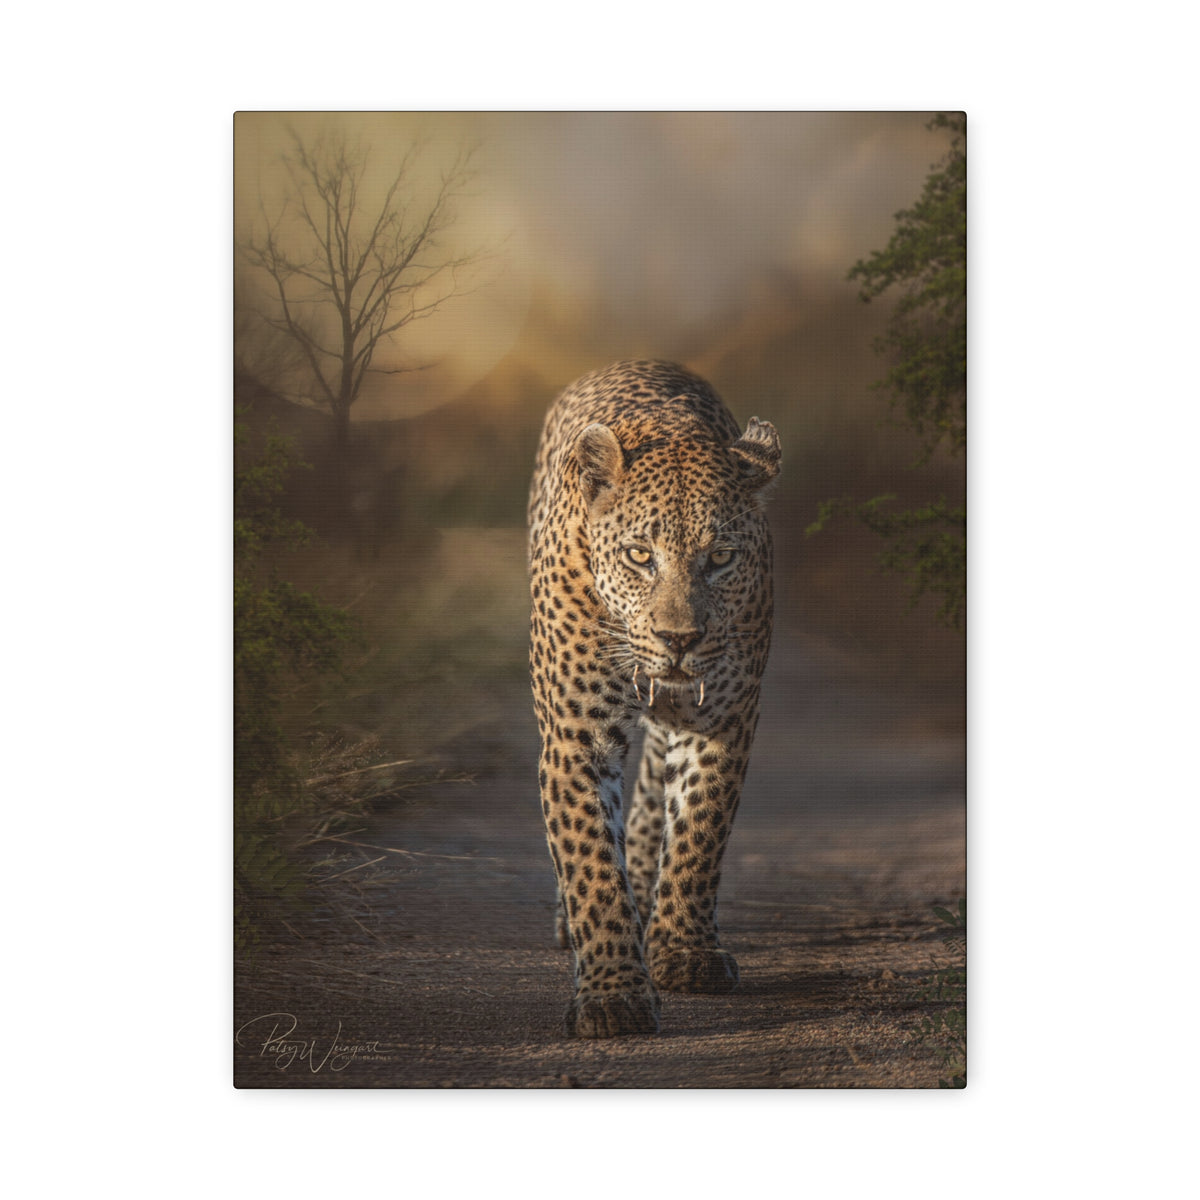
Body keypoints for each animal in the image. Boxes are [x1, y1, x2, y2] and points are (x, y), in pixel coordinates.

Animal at [527, 359, 781, 1038]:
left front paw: (685, 951)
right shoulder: (576, 734)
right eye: (640, 555)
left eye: (720, 558)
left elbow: (698, 832)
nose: (680, 640)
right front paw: (613, 992)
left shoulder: (722, 716)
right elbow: (590, 862)